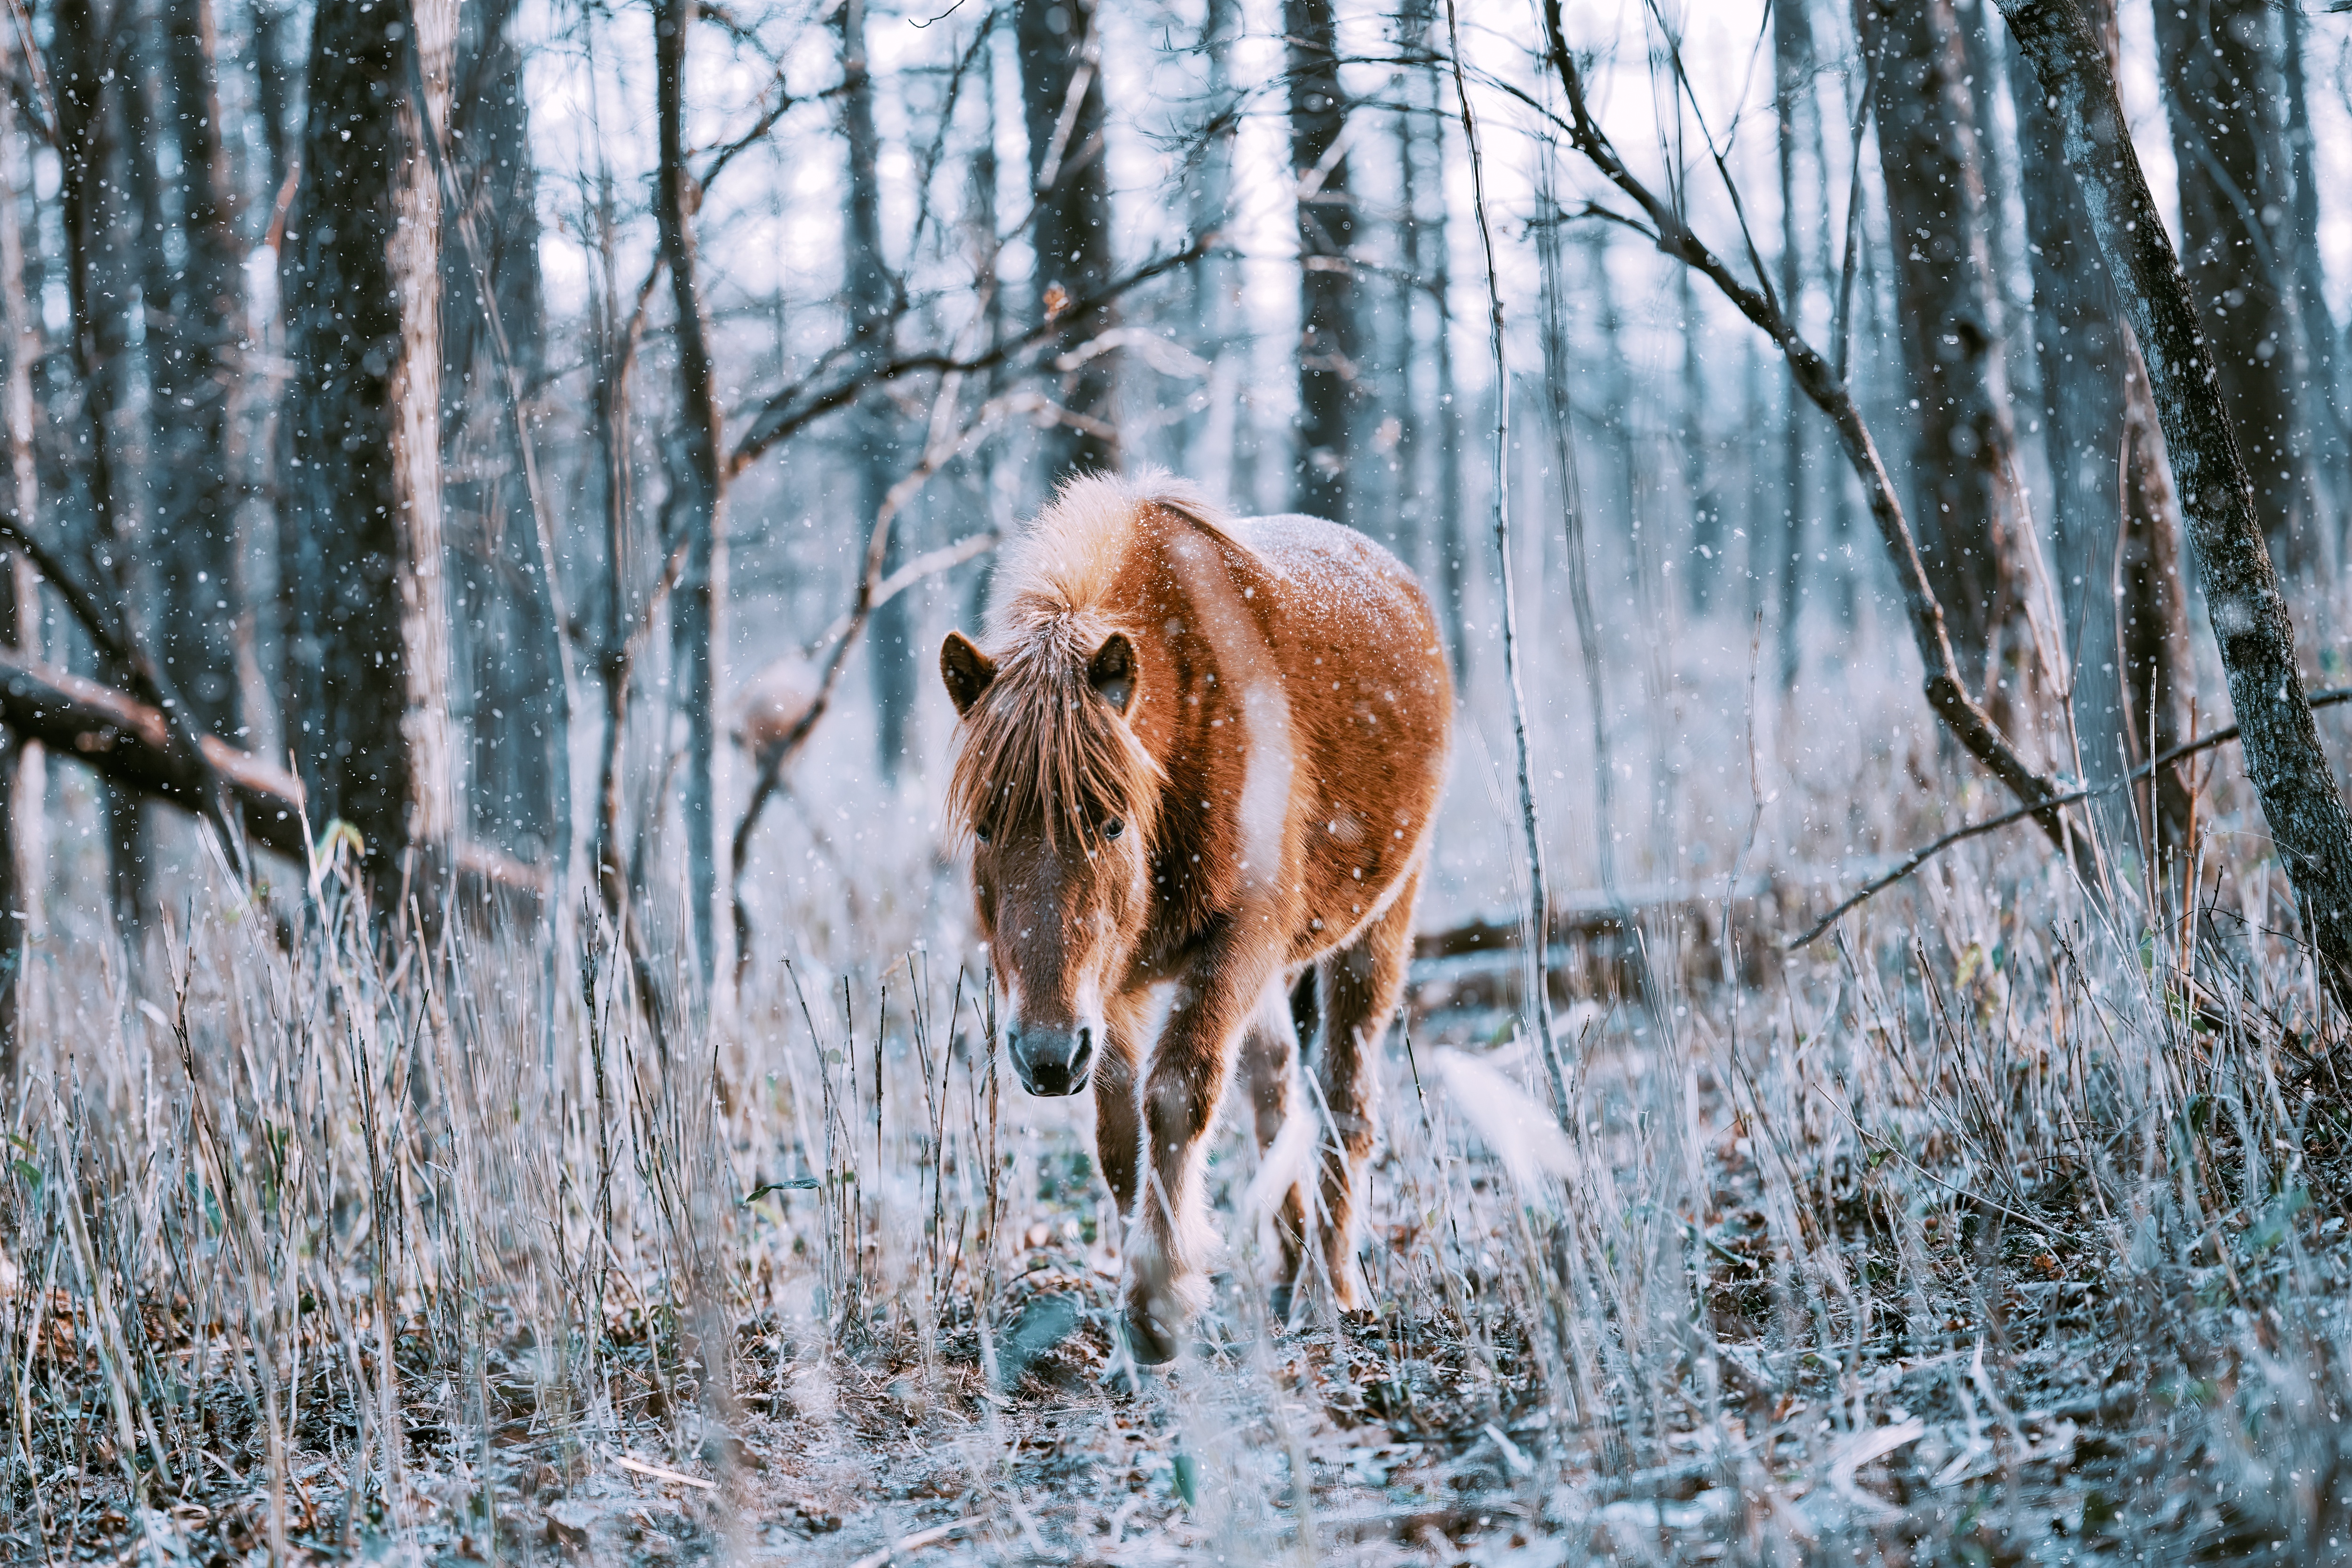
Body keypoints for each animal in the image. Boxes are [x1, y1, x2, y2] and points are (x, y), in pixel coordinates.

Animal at [939, 472, 1452, 1362]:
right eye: (986, 826)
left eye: (1111, 824)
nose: (1044, 1057)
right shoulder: (1108, 990)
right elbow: (1119, 1136)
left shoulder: (1238, 937)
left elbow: (1177, 1093)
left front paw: (1157, 1306)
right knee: (1276, 1083)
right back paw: (1288, 1265)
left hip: (1380, 924)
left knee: (1343, 1099)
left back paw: (1329, 1292)